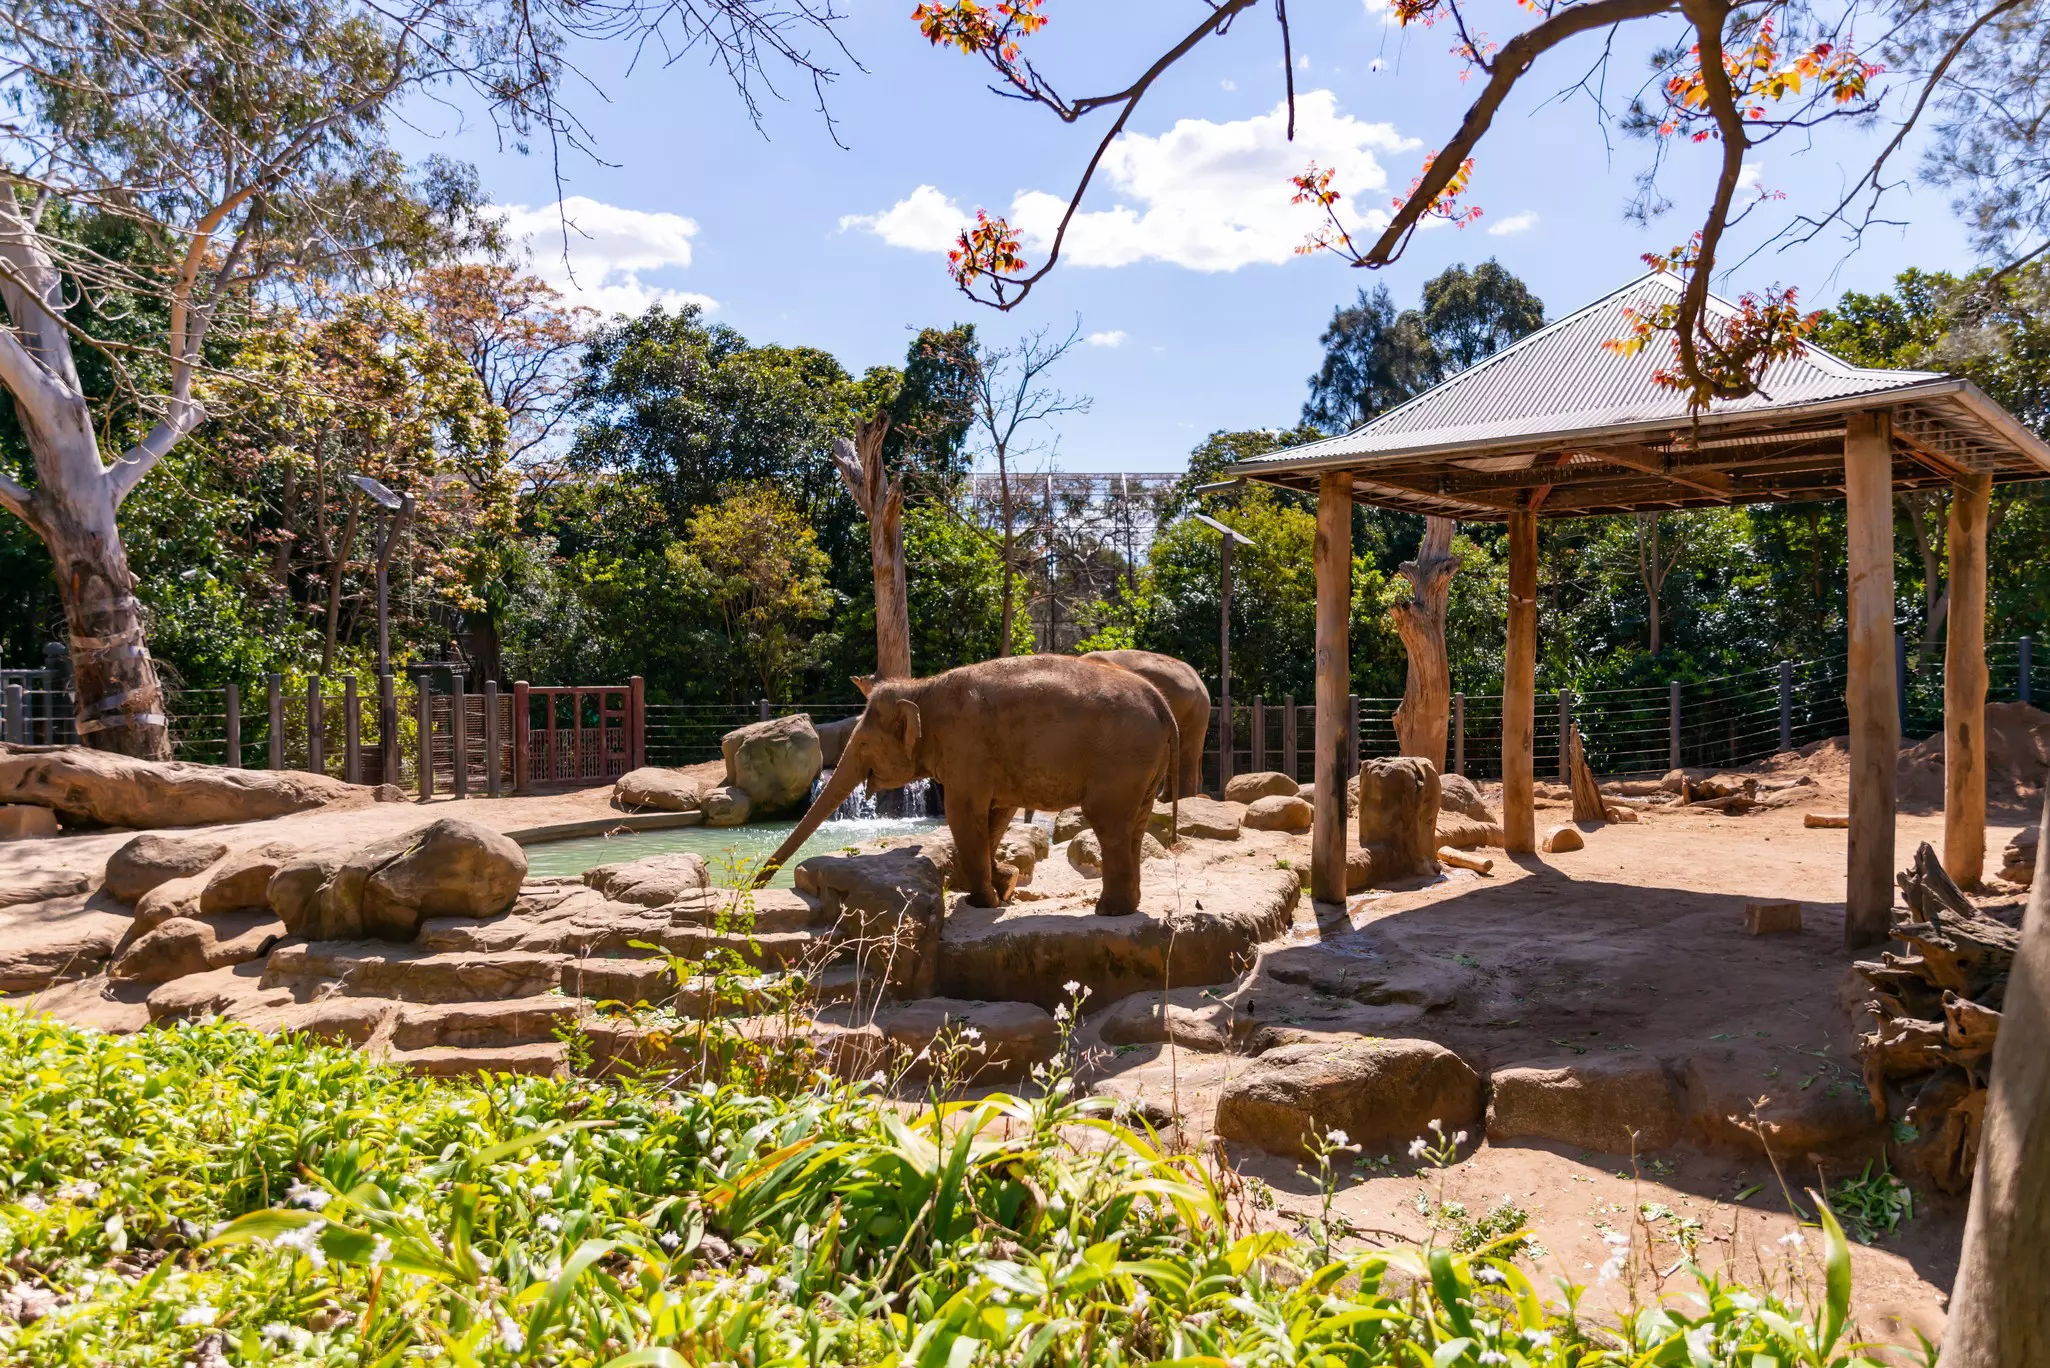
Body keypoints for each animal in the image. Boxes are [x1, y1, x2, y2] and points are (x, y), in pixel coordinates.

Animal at [756, 655, 1178, 917]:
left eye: (860, 744)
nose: (757, 884)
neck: (923, 688)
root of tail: (1162, 704)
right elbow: (997, 814)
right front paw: (1004, 886)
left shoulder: (966, 746)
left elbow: (963, 812)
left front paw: (982, 902)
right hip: (1144, 766)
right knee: (1135, 823)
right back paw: (1127, 906)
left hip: (1122, 760)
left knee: (1108, 821)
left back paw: (1108, 911)